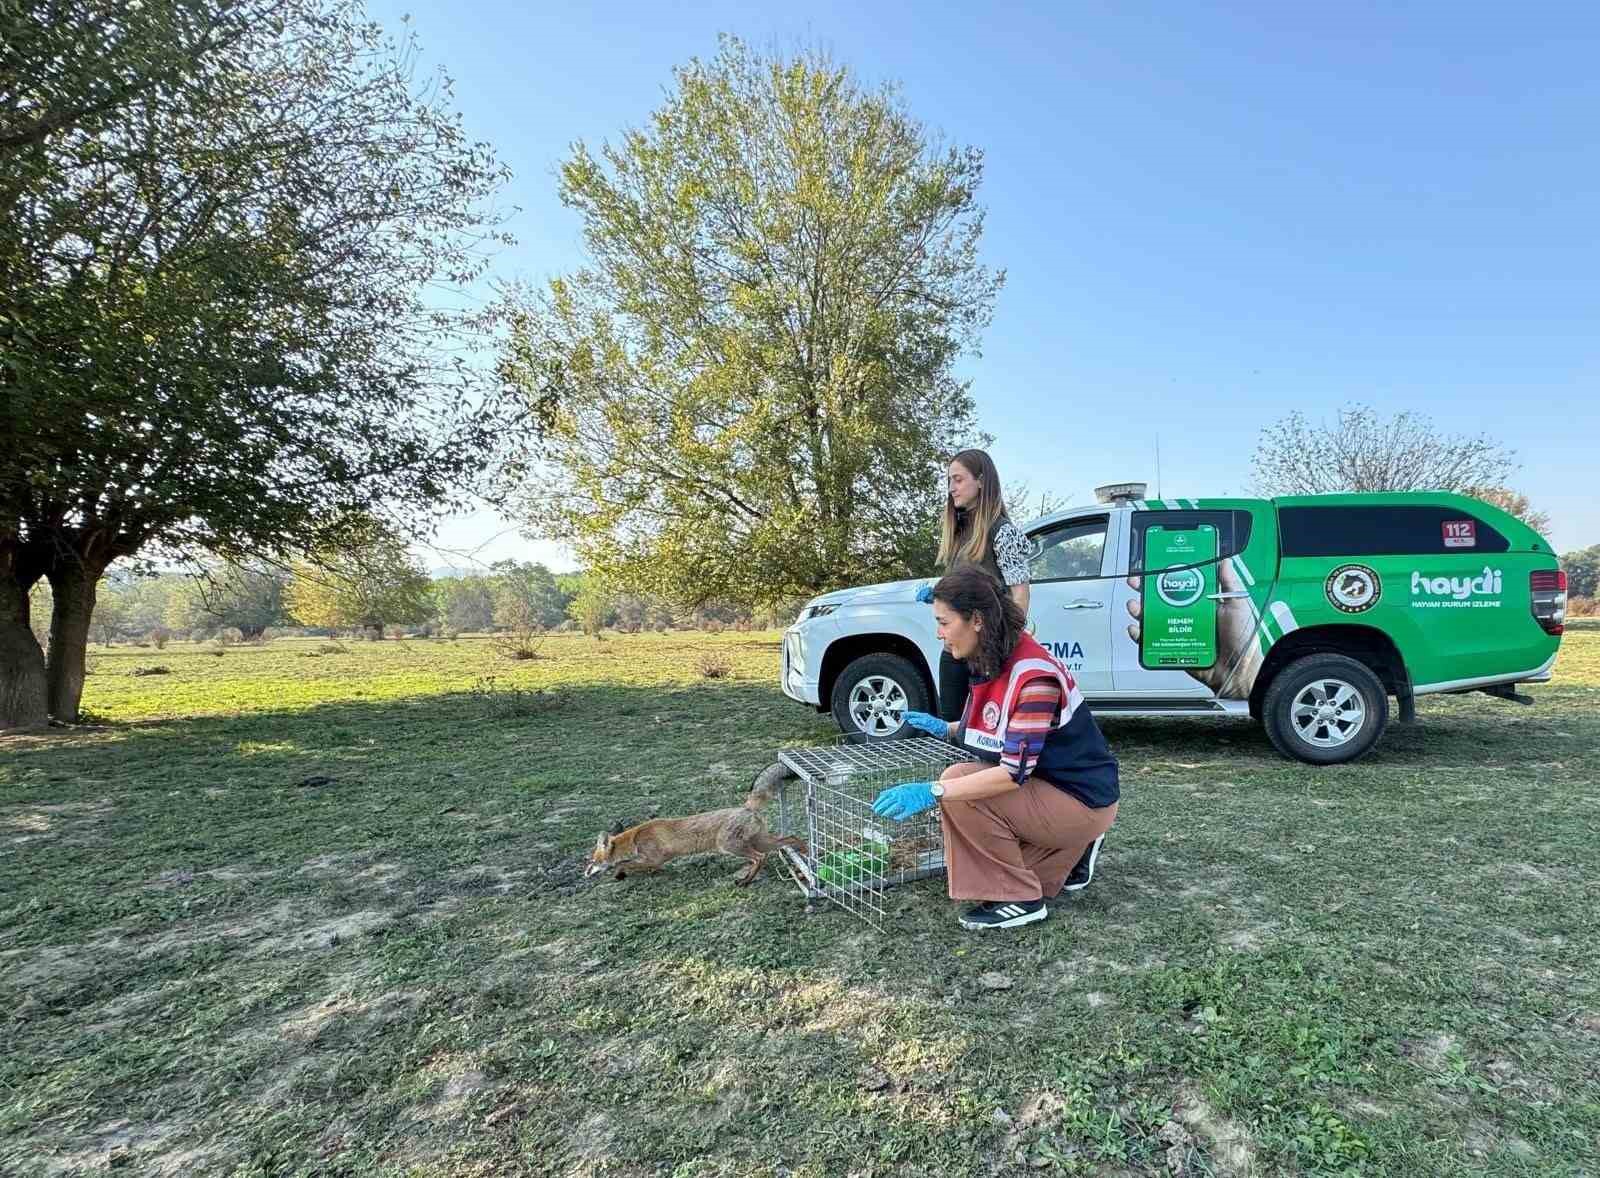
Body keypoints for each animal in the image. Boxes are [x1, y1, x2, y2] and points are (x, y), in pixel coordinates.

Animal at [585, 765, 806, 883]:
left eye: (592, 861)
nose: (585, 873)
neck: (634, 840)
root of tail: (747, 806)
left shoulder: (654, 859)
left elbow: (624, 865)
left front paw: (618, 873)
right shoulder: (651, 861)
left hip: (730, 846)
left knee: (759, 858)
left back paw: (746, 881)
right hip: (760, 842)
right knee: (792, 839)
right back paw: (805, 859)